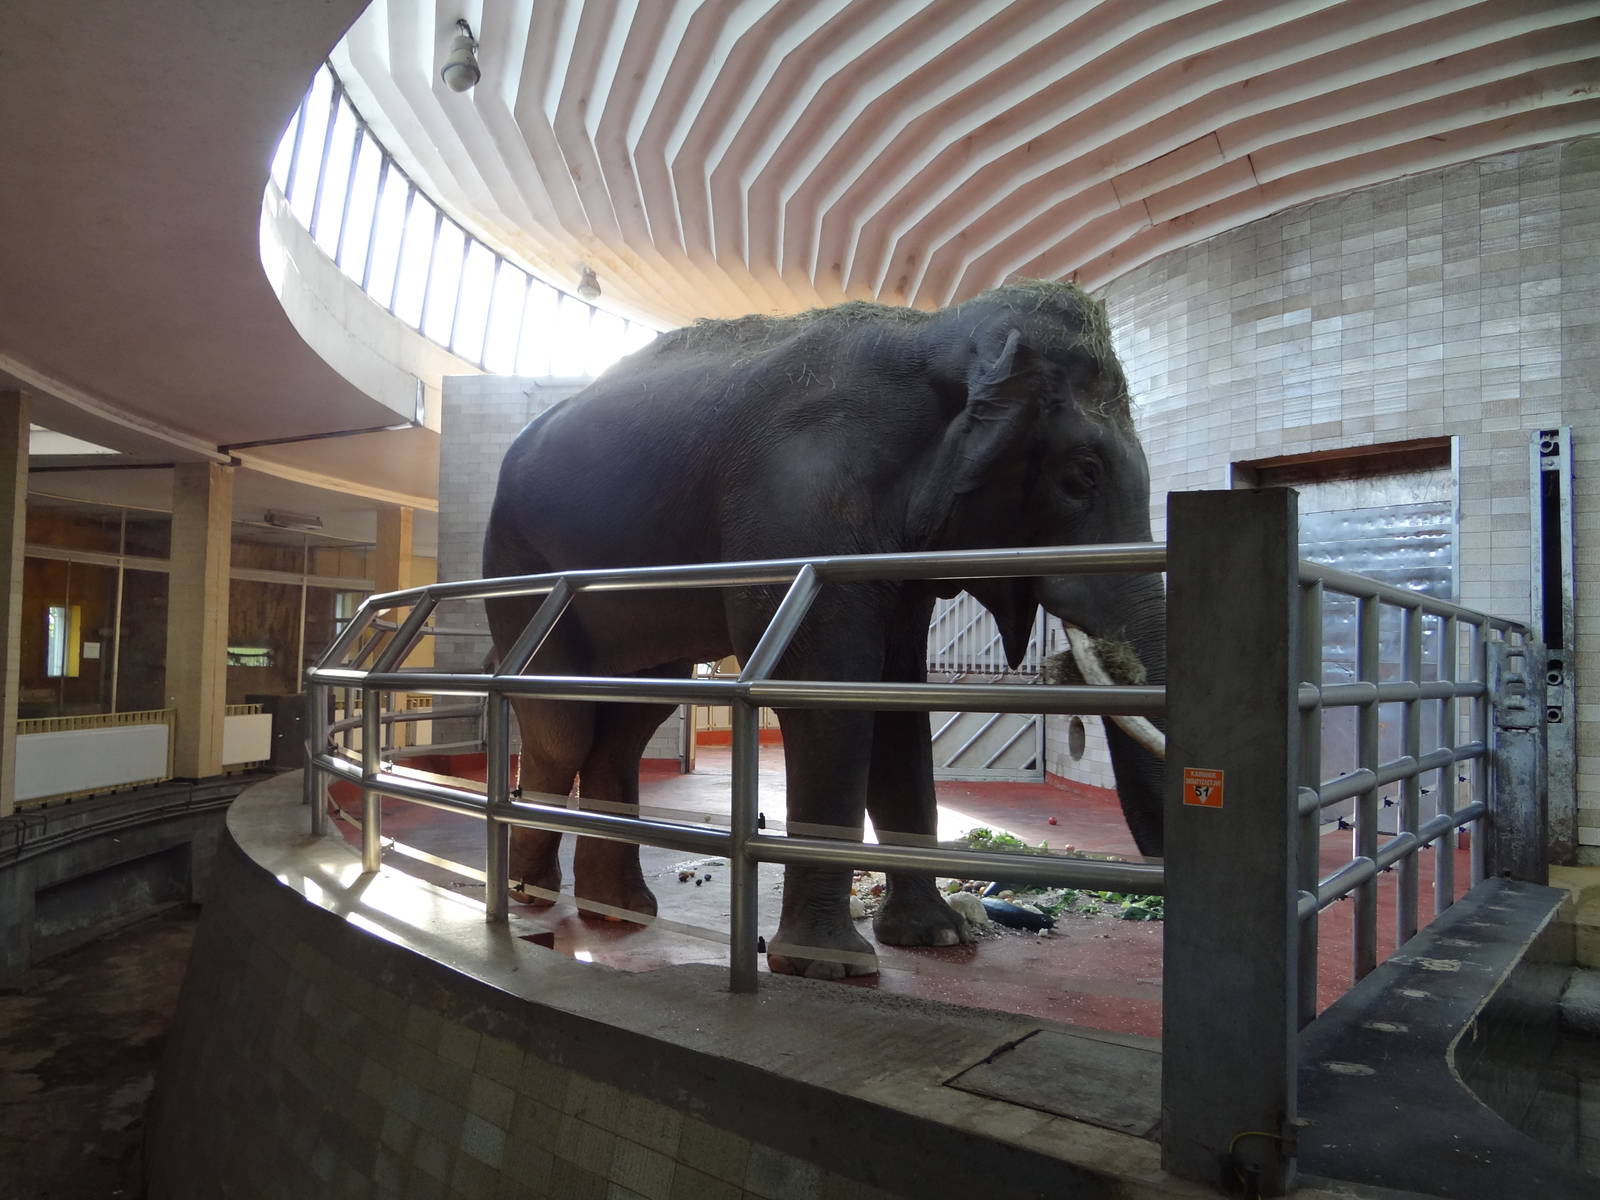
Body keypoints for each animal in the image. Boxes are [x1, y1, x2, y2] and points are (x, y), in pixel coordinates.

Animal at [483, 280, 1166, 980]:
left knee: (632, 716)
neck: (938, 336)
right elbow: (822, 693)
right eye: (1082, 474)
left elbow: (895, 701)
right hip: (519, 559)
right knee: (563, 721)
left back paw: (618, 911)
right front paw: (830, 965)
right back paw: (530, 894)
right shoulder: (799, 502)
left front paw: (935, 937)